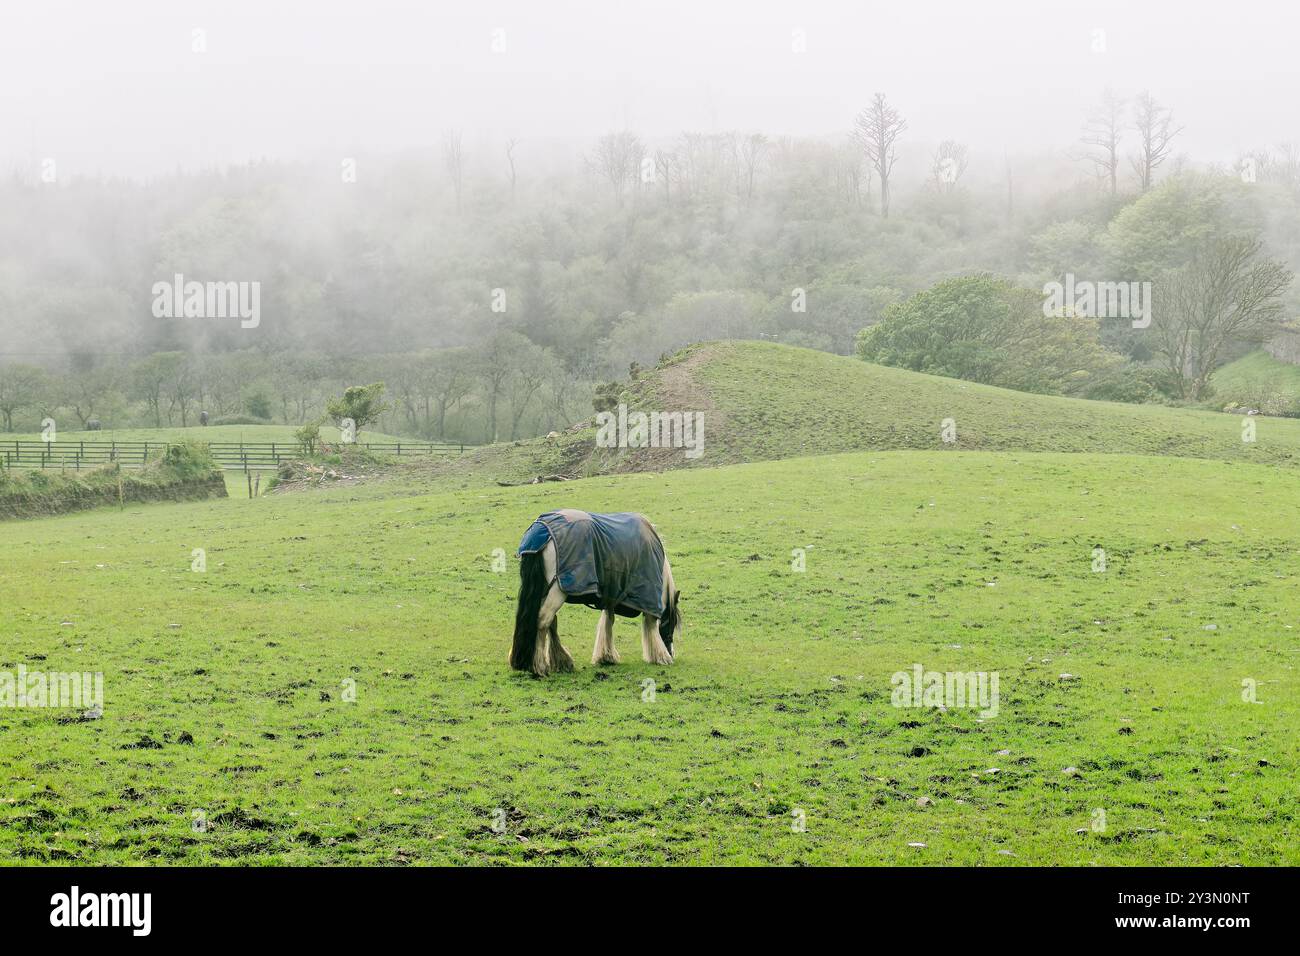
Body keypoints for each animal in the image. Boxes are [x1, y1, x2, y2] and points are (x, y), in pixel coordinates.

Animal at [512, 509, 686, 681]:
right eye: (672, 623)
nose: (672, 653)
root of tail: (542, 532)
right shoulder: (649, 597)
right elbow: (651, 625)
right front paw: (661, 657)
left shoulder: (611, 596)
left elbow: (608, 621)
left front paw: (606, 657)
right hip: (557, 591)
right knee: (543, 620)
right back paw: (540, 667)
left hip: (545, 590)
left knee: (549, 622)